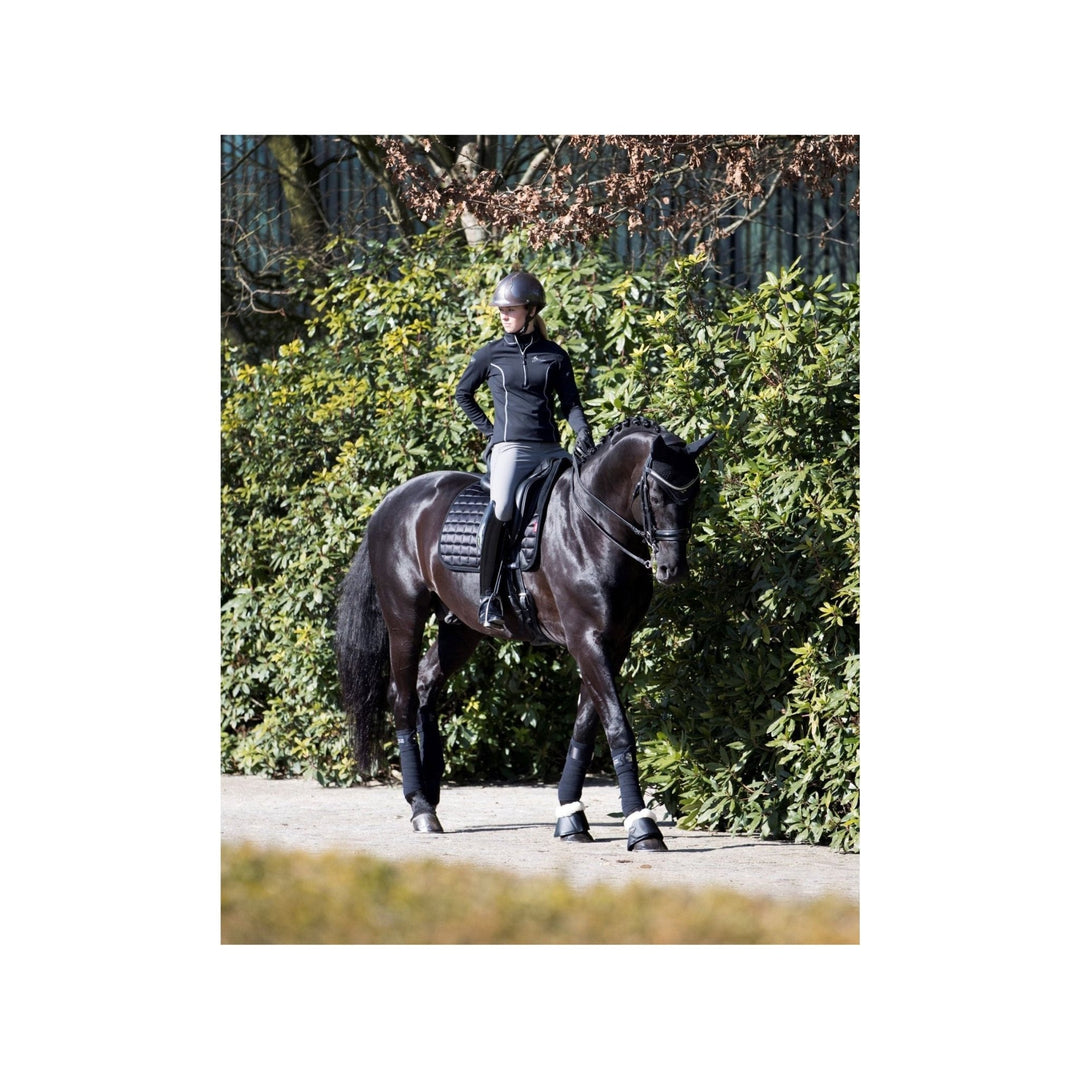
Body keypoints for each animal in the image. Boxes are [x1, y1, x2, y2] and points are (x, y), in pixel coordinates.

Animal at [333, 416, 716, 851]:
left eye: (694, 491)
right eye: (655, 491)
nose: (673, 569)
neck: (591, 530)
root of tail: (391, 502)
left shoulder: (612, 643)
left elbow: (586, 725)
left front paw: (570, 817)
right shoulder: (587, 640)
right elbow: (617, 727)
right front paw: (642, 826)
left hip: (460, 629)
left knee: (426, 685)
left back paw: (430, 794)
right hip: (404, 619)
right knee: (402, 698)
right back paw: (420, 807)